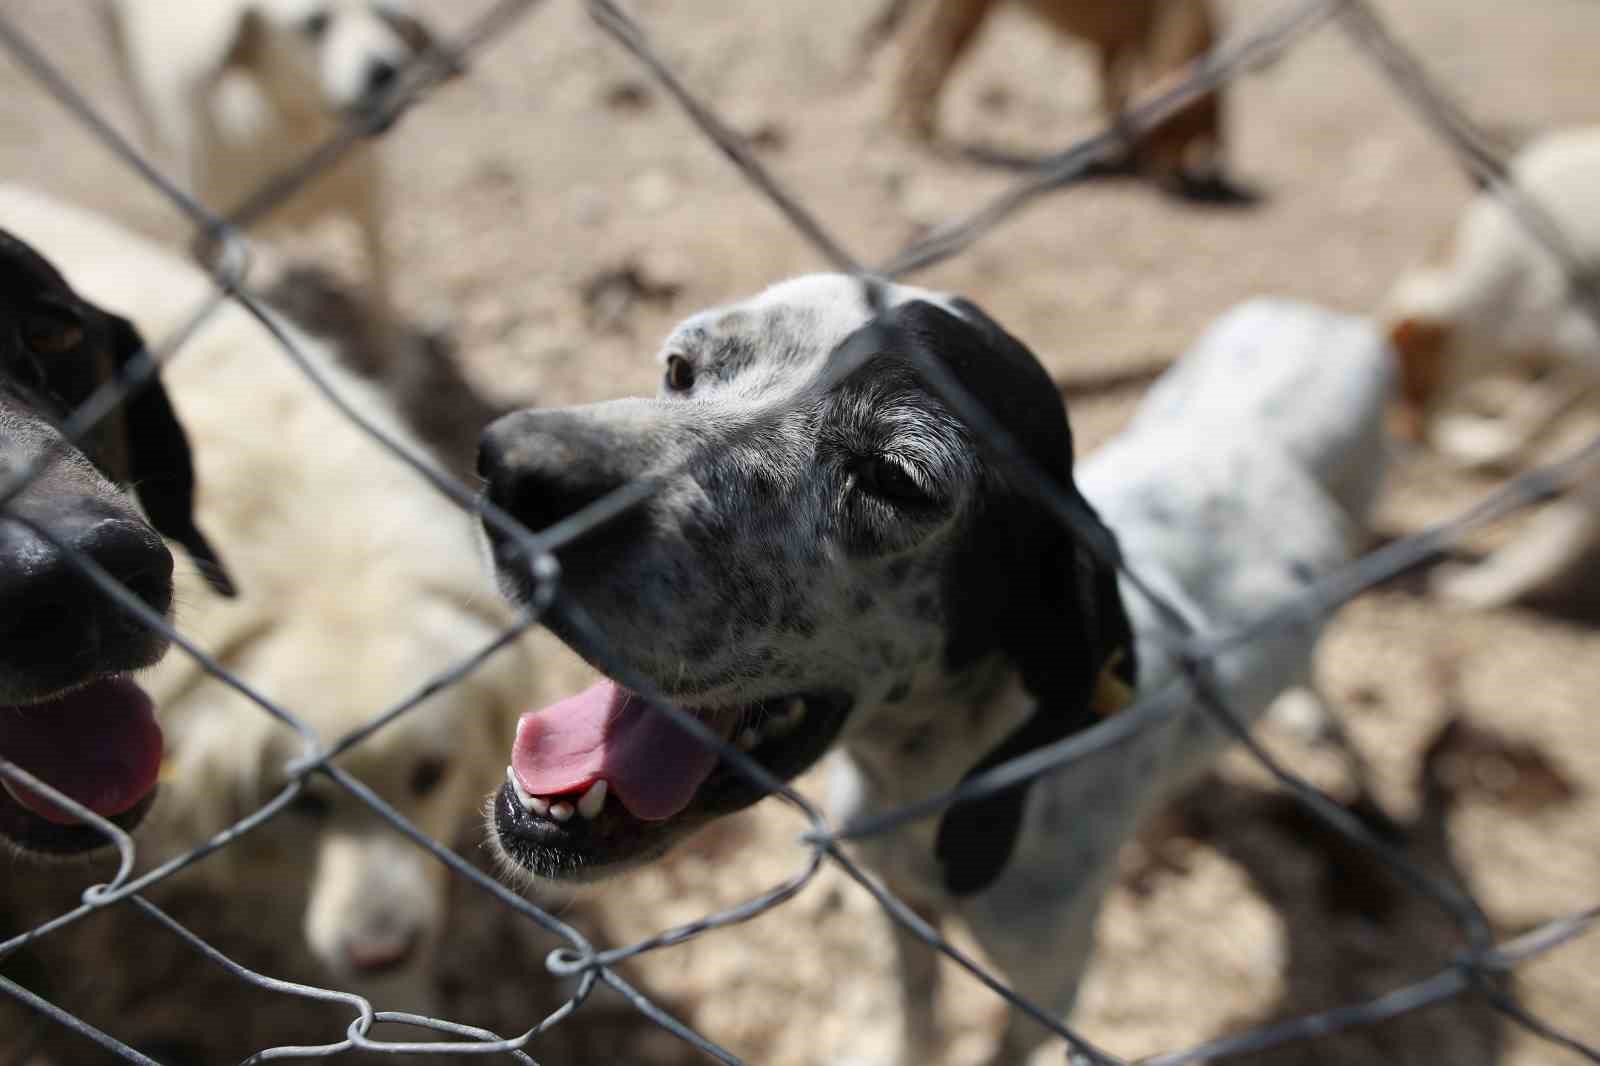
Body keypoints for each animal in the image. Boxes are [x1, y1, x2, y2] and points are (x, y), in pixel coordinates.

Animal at [470, 275, 1388, 1062]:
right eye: (679, 369)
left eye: (895, 477)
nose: (512, 470)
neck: (928, 779)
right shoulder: (902, 914)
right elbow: (917, 1020)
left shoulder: (1049, 987)